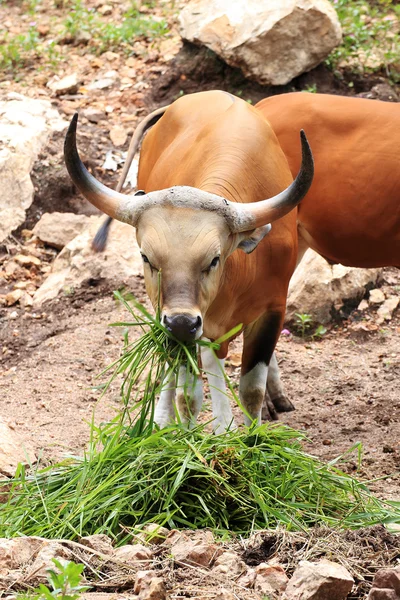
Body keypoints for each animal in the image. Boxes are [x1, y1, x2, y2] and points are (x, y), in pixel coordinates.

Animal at [64, 90, 312, 432]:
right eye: (147, 257)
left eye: (214, 259)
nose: (181, 322)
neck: (237, 279)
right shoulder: (184, 326)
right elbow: (189, 395)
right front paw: (201, 434)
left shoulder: (273, 307)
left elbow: (251, 390)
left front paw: (251, 436)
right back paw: (167, 419)